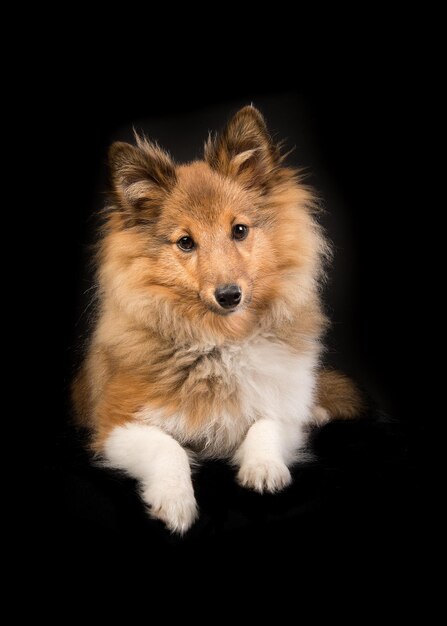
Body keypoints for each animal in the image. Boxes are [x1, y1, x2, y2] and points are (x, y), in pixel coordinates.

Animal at [72, 106, 362, 532]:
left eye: (239, 230)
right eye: (185, 242)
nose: (229, 295)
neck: (220, 340)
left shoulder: (284, 407)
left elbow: (266, 424)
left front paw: (263, 469)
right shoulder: (115, 424)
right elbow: (168, 447)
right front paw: (175, 501)